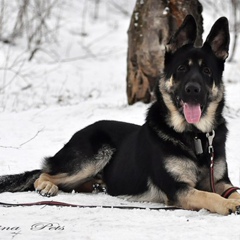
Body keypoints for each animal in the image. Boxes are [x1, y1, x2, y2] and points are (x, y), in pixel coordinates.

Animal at [0, 15, 240, 215]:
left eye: (207, 71)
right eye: (181, 69)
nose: (193, 89)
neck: (195, 136)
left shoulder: (221, 181)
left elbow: (233, 190)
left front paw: (233, 199)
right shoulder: (178, 188)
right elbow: (207, 196)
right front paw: (227, 204)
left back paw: (97, 185)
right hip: (93, 157)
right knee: (44, 173)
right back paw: (47, 186)